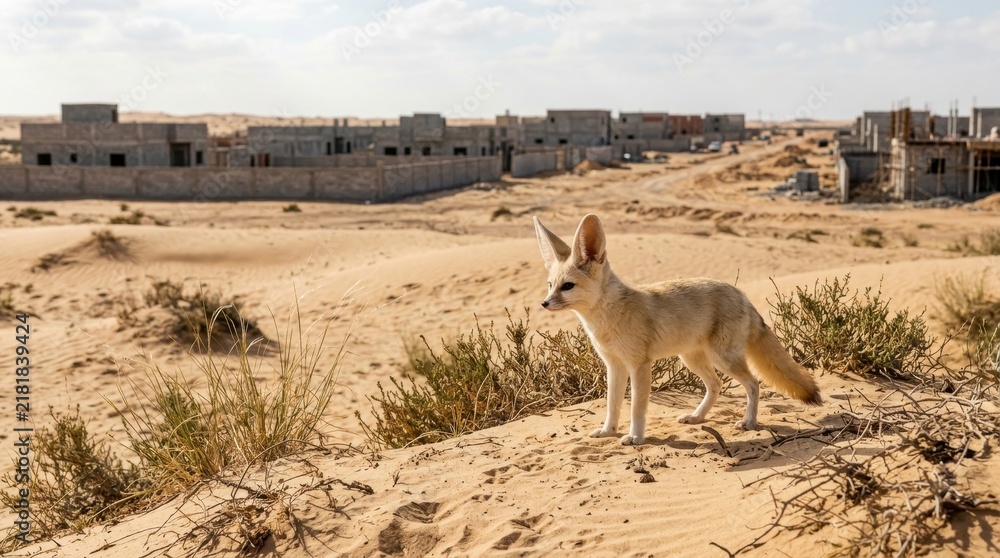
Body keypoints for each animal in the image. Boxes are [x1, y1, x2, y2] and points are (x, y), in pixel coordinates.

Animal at [533, 213, 821, 446]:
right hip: (692, 359)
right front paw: (608, 431)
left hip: (722, 359)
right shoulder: (614, 365)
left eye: (567, 286)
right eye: (550, 285)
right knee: (716, 385)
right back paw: (697, 417)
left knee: (753, 384)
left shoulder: (639, 365)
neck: (608, 317)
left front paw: (635, 437)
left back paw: (749, 422)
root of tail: (742, 295)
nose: (544, 303)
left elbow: (637, 407)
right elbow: (612, 405)